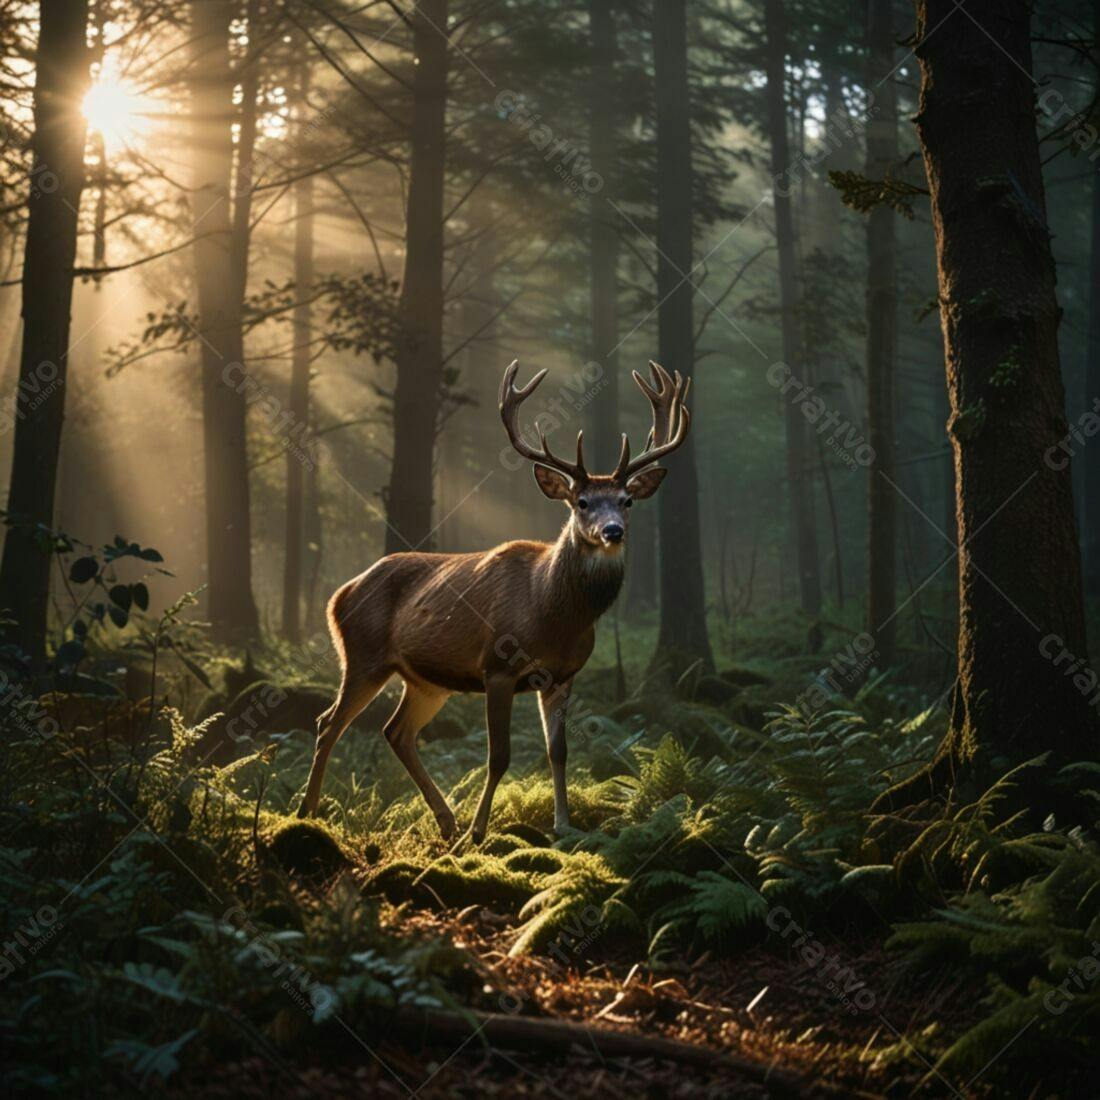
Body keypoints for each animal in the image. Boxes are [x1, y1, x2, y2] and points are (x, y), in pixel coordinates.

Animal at [297, 359, 692, 843]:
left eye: (627, 500)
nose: (612, 531)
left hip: (427, 680)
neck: (551, 614)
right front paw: (480, 831)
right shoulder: (497, 667)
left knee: (396, 732)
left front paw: (563, 826)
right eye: (581, 502)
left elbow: (558, 750)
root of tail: (339, 595)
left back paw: (445, 820)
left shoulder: (563, 675)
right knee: (328, 724)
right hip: (362, 655)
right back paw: (308, 812)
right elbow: (498, 755)